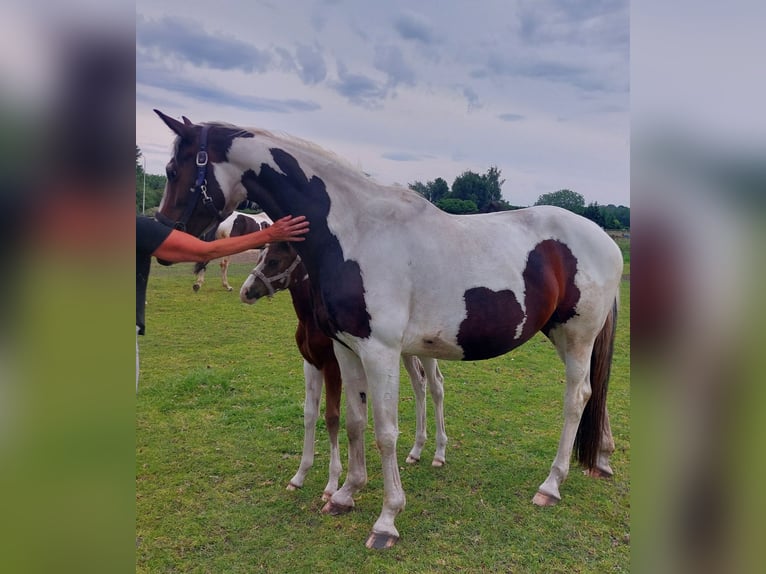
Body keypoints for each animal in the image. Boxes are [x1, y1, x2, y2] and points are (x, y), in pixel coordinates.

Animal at [237, 241, 448, 502]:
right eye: (259, 257)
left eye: (274, 260)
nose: (246, 291)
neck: (311, 319)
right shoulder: (311, 365)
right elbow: (310, 414)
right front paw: (299, 476)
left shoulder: (332, 367)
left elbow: (332, 417)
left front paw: (332, 484)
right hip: (407, 352)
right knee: (419, 384)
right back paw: (416, 451)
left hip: (427, 351)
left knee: (436, 386)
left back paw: (439, 454)